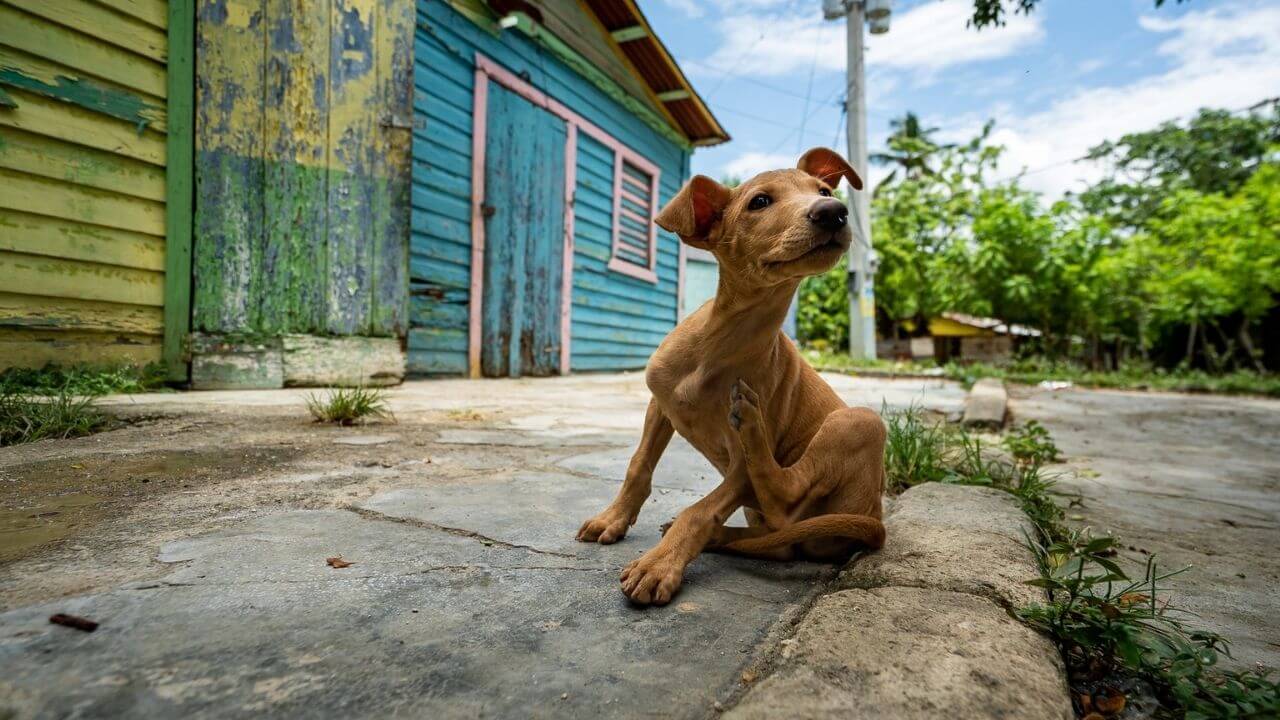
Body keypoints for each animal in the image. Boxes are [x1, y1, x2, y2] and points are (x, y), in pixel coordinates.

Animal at [576, 147, 885, 604]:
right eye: (760, 201)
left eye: (824, 191)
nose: (834, 212)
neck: (720, 344)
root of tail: (876, 517)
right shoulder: (660, 404)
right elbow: (638, 465)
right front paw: (612, 518)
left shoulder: (739, 472)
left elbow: (700, 510)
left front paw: (659, 565)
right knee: (779, 543)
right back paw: (723, 538)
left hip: (861, 420)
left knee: (786, 498)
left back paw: (751, 429)